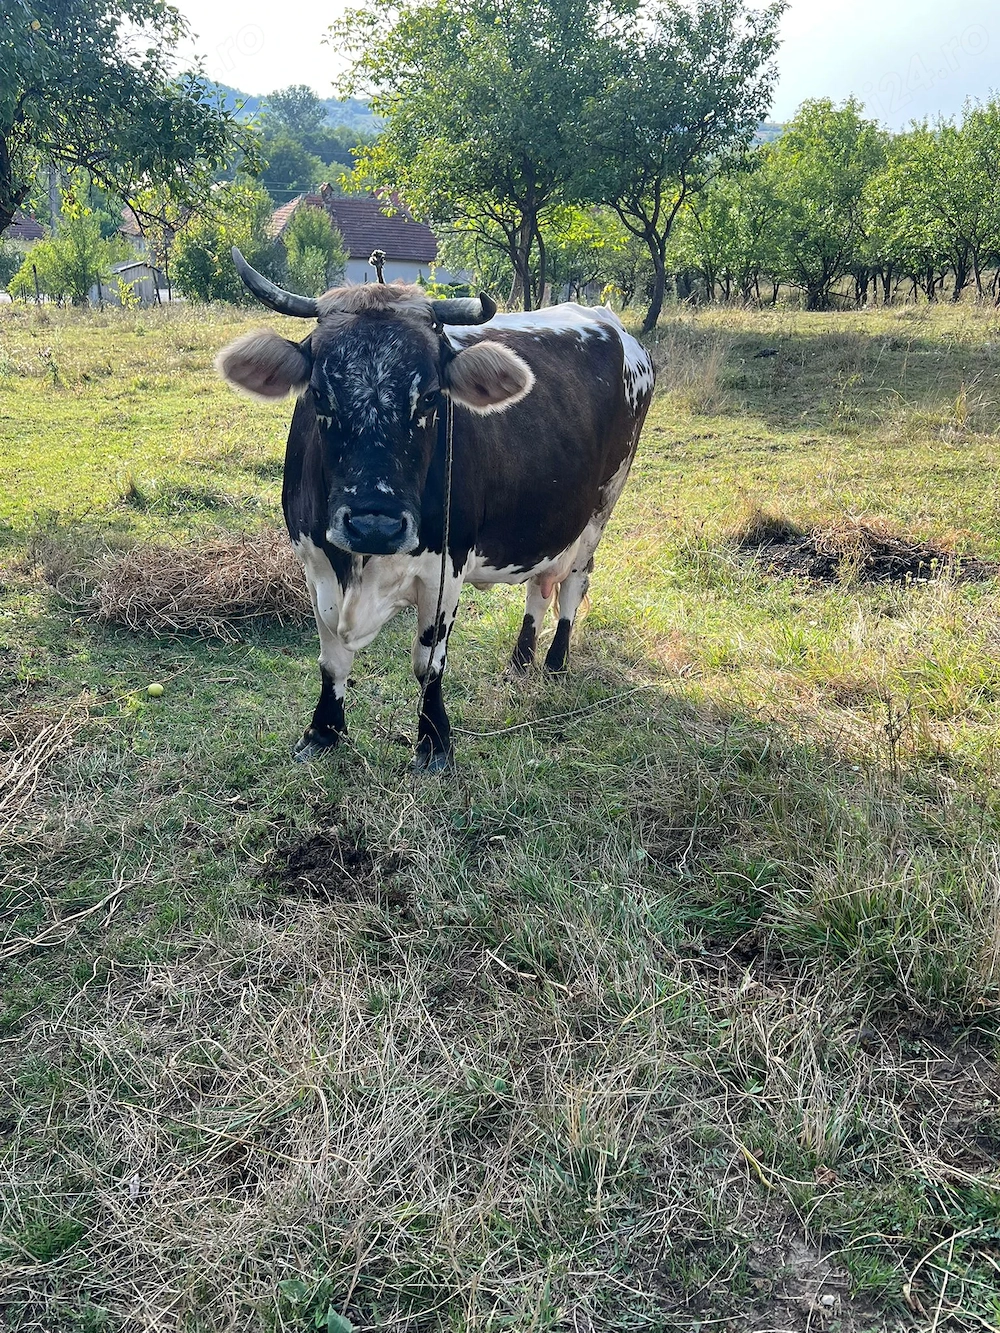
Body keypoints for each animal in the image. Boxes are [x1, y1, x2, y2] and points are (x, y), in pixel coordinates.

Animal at [216, 248, 655, 772]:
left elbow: (428, 663)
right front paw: (323, 731)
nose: (374, 524)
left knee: (573, 584)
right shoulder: (315, 564)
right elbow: (332, 657)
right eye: (320, 394)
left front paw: (433, 741)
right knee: (538, 588)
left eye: (428, 398)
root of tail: (615, 327)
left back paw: (553, 663)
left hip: (600, 510)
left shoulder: (446, 567)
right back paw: (519, 662)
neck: (361, 568)